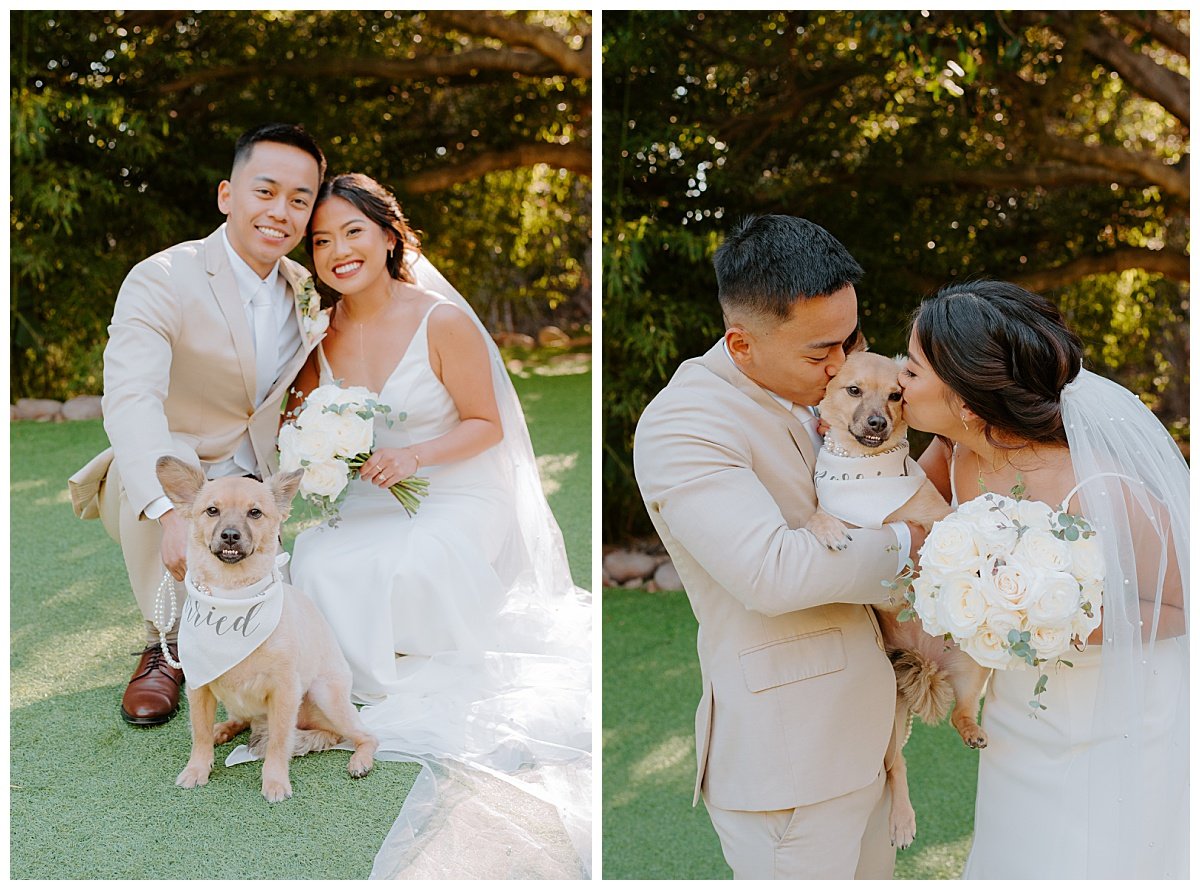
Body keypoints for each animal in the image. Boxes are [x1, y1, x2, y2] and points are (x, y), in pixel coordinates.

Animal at [156, 460, 374, 801]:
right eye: (212, 510)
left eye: (255, 513)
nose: (230, 535)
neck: (233, 595)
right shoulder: (198, 689)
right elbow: (199, 734)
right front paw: (197, 769)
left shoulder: (284, 691)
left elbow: (278, 743)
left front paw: (275, 781)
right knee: (238, 721)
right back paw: (223, 729)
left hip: (325, 695)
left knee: (365, 735)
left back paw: (361, 760)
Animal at [638, 214, 926, 878]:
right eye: (851, 389)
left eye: (897, 396)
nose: (879, 425)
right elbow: (821, 518)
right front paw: (831, 528)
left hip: (891, 724)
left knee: (897, 767)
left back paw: (900, 817)